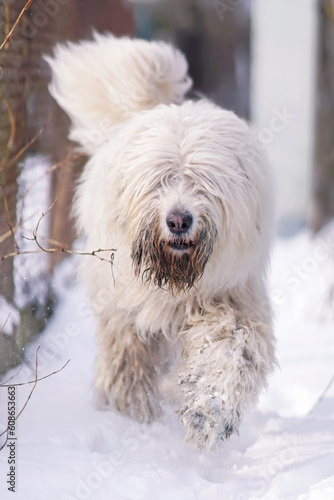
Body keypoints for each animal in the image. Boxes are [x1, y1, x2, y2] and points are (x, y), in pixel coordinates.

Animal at [46, 33, 276, 452]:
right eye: (160, 181)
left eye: (204, 183)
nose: (178, 220)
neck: (177, 281)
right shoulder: (127, 312)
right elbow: (129, 359)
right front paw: (134, 409)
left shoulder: (232, 300)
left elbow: (229, 349)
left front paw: (208, 411)